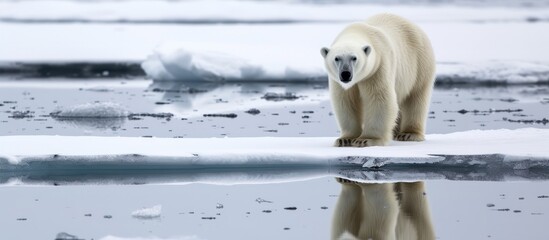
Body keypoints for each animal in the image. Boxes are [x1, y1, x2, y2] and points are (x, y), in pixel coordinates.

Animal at [318, 14, 434, 148]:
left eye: (354, 58)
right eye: (337, 58)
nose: (345, 74)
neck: (358, 31)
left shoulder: (377, 68)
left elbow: (379, 99)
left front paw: (366, 140)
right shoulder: (339, 82)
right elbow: (346, 102)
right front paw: (345, 140)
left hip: (420, 63)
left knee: (416, 97)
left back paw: (409, 134)